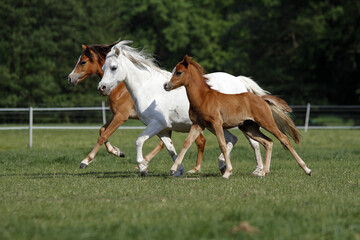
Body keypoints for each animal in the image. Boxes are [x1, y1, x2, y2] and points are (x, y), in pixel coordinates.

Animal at [164, 54, 312, 178]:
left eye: (179, 72)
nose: (166, 85)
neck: (203, 98)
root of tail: (261, 99)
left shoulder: (216, 123)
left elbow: (223, 144)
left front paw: (227, 172)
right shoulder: (198, 125)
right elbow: (187, 143)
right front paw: (173, 169)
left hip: (266, 122)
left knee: (283, 139)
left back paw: (306, 169)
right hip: (249, 128)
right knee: (268, 142)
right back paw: (263, 172)